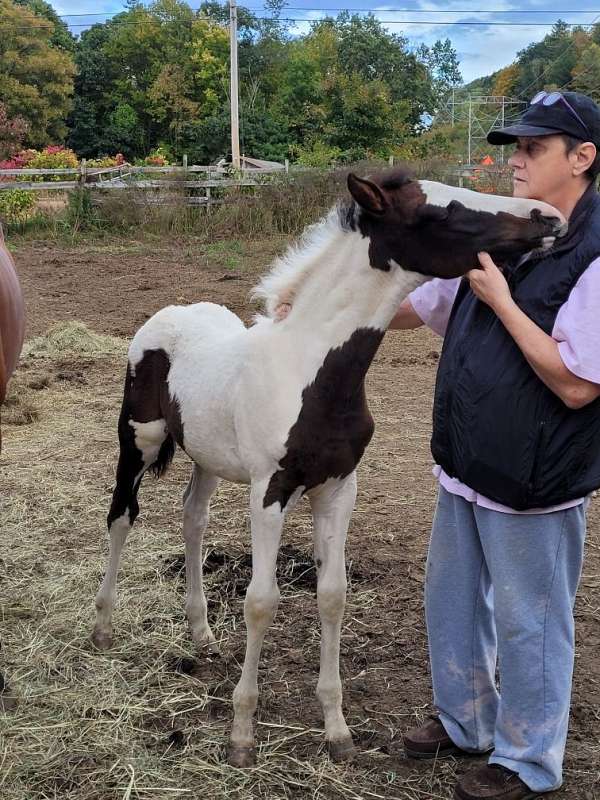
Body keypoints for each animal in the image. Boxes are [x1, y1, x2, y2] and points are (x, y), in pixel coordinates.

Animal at [91, 172, 564, 764]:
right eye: (443, 211)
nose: (550, 217)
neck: (311, 371)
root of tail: (168, 314)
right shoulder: (269, 491)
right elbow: (261, 601)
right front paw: (242, 734)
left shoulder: (340, 487)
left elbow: (333, 595)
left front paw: (336, 730)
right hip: (140, 440)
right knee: (121, 516)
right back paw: (103, 628)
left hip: (207, 455)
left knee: (192, 519)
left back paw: (201, 634)